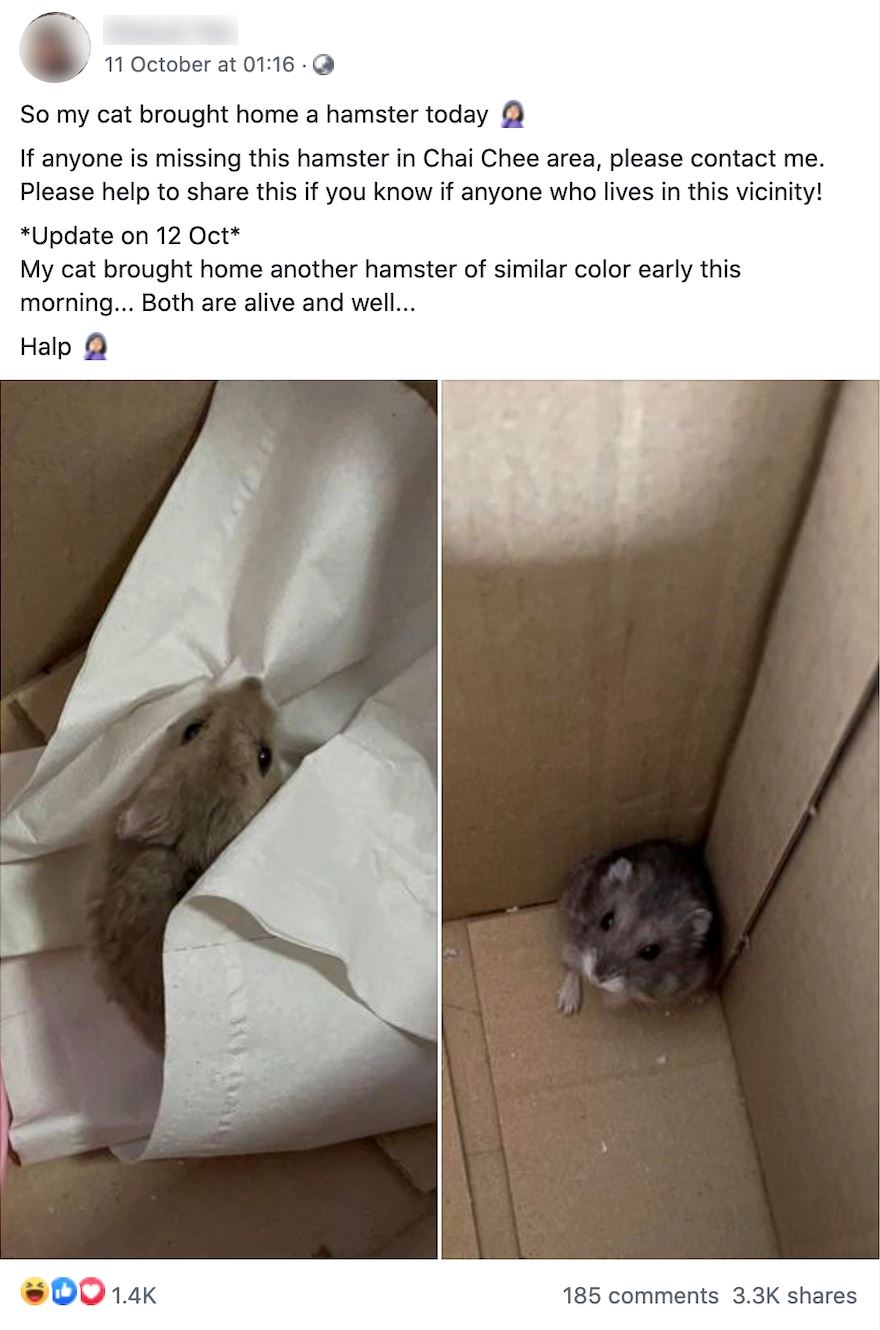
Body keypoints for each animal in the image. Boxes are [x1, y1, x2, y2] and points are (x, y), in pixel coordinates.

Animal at [557, 839, 720, 1014]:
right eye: (606, 920)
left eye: (650, 952)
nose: (595, 978)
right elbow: (573, 964)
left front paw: (701, 998)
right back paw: (567, 1006)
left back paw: (701, 997)